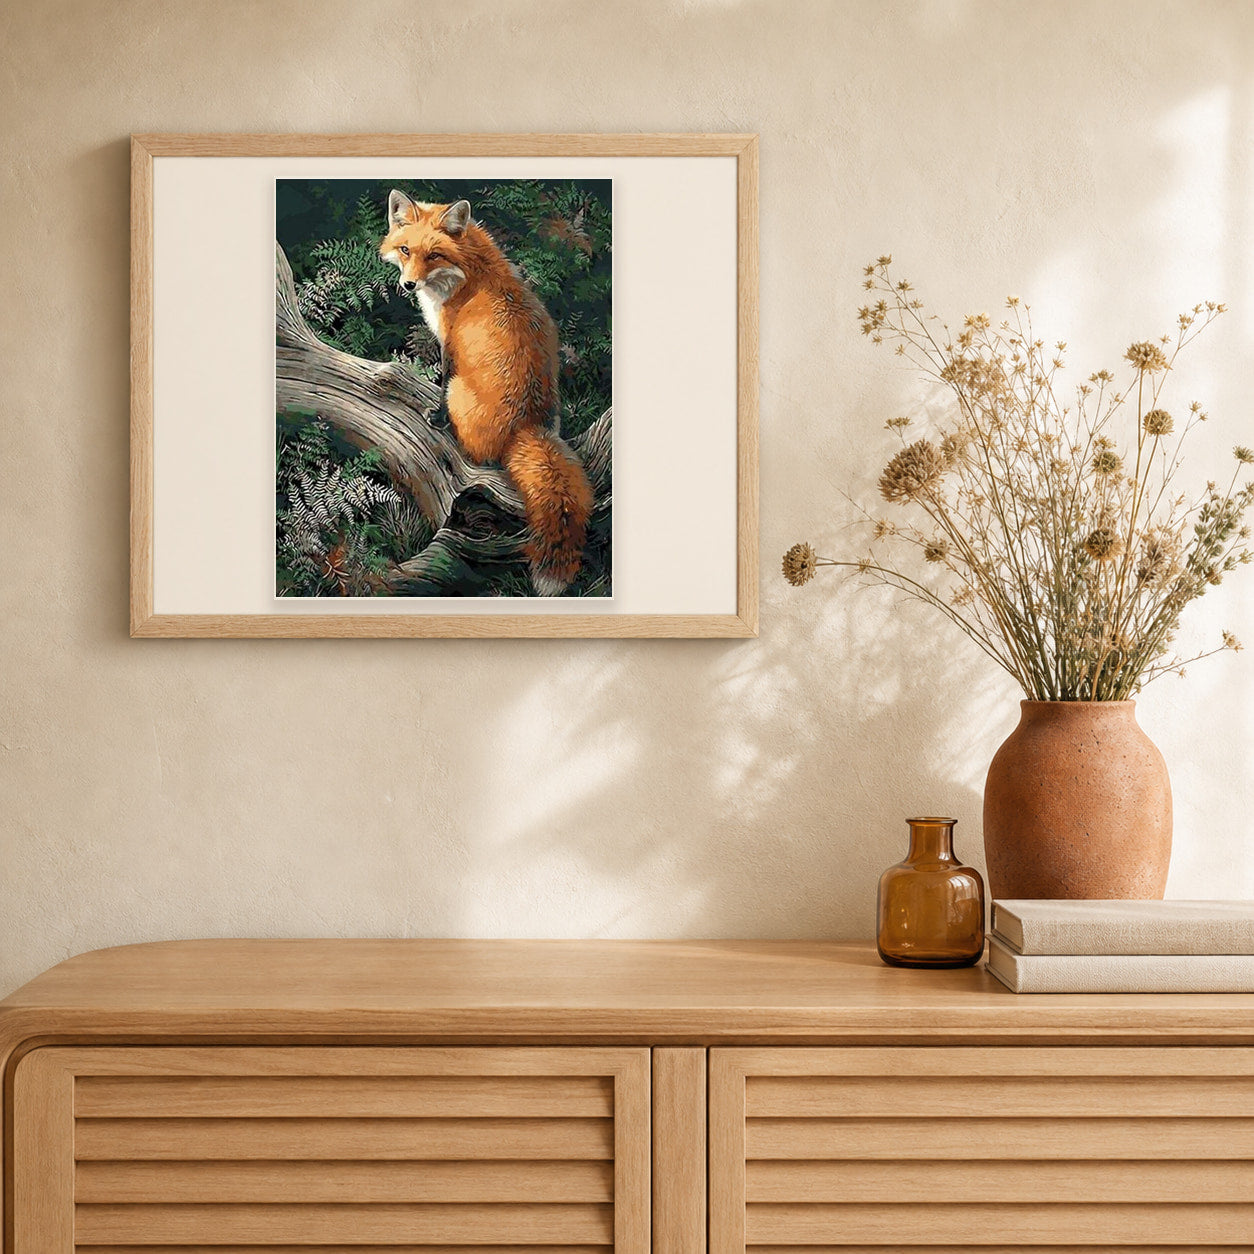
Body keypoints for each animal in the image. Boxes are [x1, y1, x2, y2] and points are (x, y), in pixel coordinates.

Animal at [379, 188, 594, 597]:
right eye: (405, 250)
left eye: (434, 255)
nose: (408, 285)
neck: (470, 272)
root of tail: (527, 427)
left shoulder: (449, 344)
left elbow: (441, 382)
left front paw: (436, 417)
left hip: (461, 392)